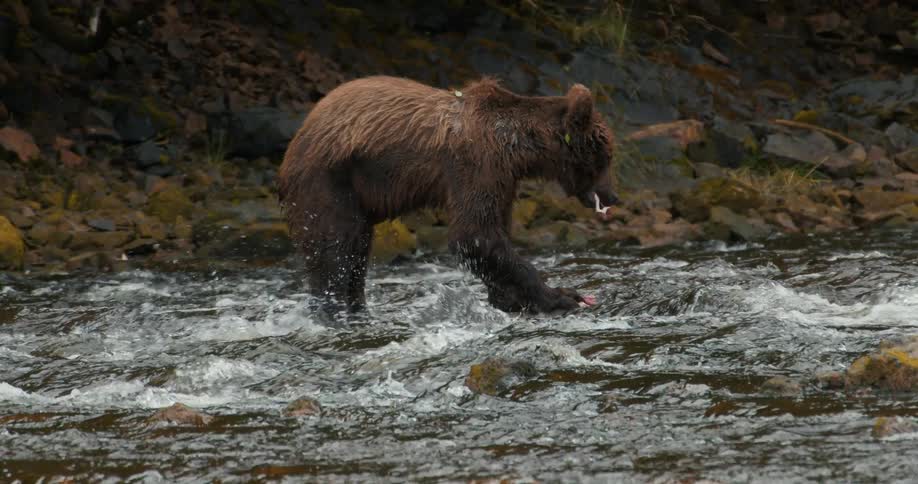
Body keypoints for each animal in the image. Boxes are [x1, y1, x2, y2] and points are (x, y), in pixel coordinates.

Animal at [277, 75, 617, 313]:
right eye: (605, 156)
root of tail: (295, 138)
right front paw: (561, 296)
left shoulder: (504, 179)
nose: (612, 196)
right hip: (328, 181)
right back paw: (333, 312)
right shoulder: (477, 165)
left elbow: (494, 233)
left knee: (357, 254)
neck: (519, 147)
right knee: (335, 250)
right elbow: (475, 234)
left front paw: (508, 298)